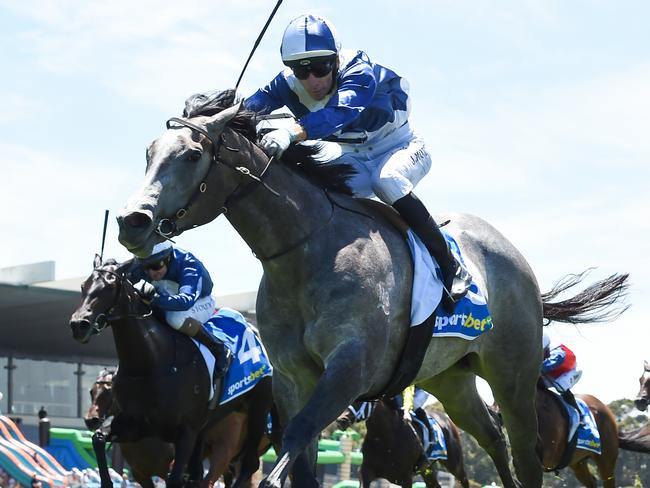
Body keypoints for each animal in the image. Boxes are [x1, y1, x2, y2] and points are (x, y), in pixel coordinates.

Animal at [69, 258, 272, 486]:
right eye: (83, 286)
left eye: (109, 286)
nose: (78, 324)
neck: (152, 363)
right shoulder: (136, 426)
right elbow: (98, 439)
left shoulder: (186, 433)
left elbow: (175, 479)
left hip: (257, 409)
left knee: (249, 464)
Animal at [114, 89, 624, 486]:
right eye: (149, 152)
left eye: (192, 154)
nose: (131, 221)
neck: (306, 251)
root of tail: (512, 254)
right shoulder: (292, 377)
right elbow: (300, 460)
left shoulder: (350, 368)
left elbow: (294, 442)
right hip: (451, 378)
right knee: (494, 440)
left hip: (512, 375)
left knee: (525, 453)